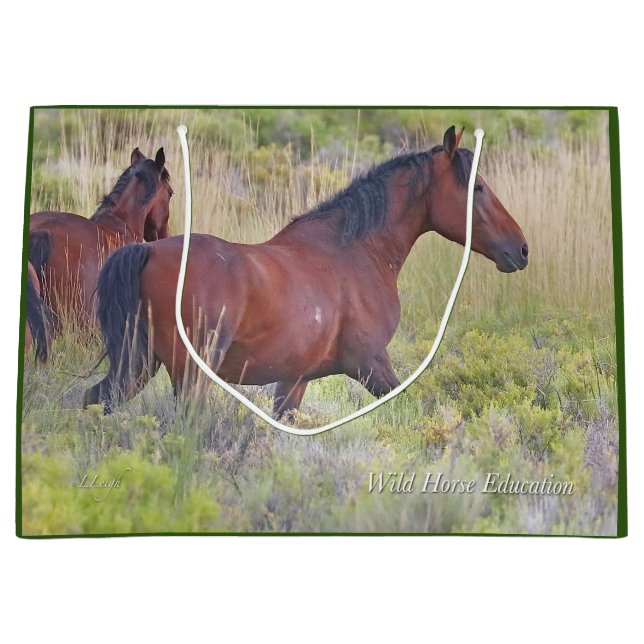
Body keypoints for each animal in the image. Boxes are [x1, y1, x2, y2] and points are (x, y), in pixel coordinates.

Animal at [83, 126, 528, 418]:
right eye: (477, 187)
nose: (521, 250)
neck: (355, 252)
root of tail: (148, 249)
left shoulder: (294, 381)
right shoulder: (371, 364)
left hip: (138, 365)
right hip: (186, 374)